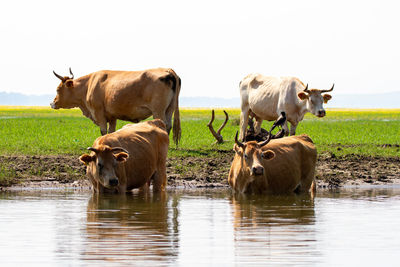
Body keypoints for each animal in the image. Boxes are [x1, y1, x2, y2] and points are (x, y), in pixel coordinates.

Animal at [51, 68, 181, 146]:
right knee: (168, 125)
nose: (52, 103)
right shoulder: (112, 116)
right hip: (169, 109)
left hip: (158, 110)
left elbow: (103, 131)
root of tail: (167, 70)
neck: (88, 85)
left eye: (57, 89)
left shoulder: (99, 112)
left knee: (163, 124)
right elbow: (111, 131)